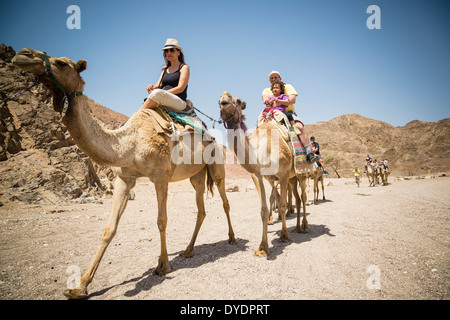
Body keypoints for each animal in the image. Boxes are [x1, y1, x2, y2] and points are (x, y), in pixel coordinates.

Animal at [12, 48, 237, 300]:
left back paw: (232, 238)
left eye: (61, 63)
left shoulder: (160, 176)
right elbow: (110, 228)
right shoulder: (124, 178)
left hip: (216, 165)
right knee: (201, 209)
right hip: (195, 176)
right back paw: (188, 250)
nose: (23, 55)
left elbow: (161, 220)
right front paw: (80, 286)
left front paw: (163, 265)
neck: (129, 143)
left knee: (224, 200)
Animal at [217, 91, 310, 256]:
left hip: (301, 172)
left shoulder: (283, 175)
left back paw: (305, 225)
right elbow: (263, 209)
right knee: (298, 199)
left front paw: (284, 235)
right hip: (292, 178)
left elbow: (282, 205)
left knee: (303, 196)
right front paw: (262, 247)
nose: (224, 99)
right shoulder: (258, 176)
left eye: (238, 101)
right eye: (218, 101)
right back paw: (298, 228)